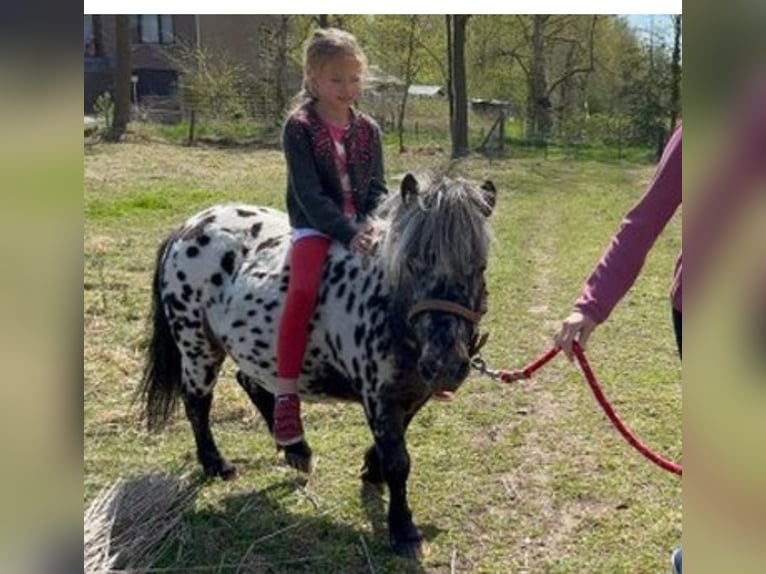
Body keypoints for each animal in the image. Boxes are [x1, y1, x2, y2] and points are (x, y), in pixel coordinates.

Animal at [138, 172, 496, 558]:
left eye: (480, 267)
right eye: (412, 262)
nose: (444, 364)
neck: (389, 307)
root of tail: (189, 226)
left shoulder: (412, 393)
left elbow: (394, 445)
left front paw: (372, 469)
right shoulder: (380, 397)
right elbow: (399, 462)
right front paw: (403, 530)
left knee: (250, 382)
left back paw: (295, 449)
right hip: (197, 345)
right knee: (197, 403)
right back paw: (216, 464)